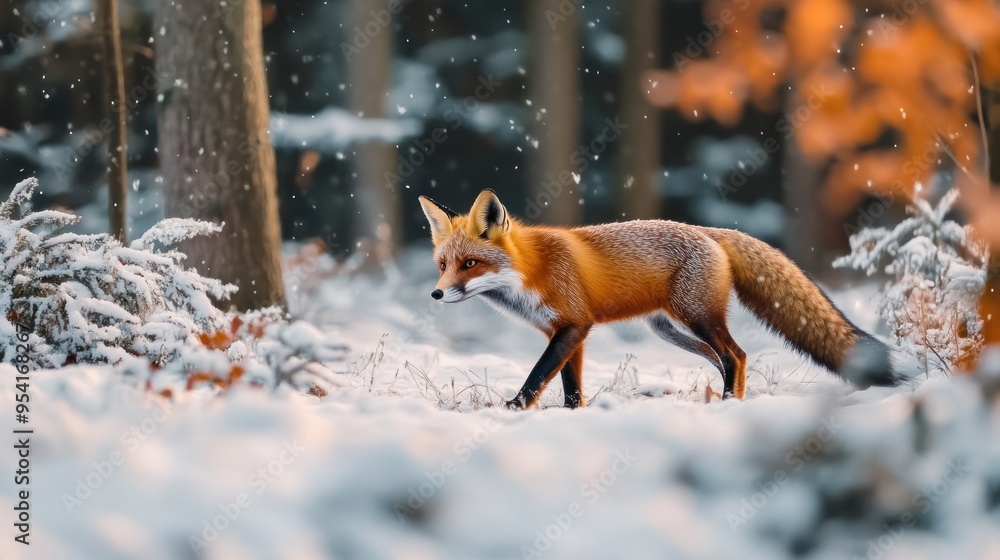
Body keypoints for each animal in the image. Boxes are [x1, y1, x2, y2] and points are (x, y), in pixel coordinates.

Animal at [418, 189, 900, 410]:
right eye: (442, 264)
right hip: (671, 330)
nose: (437, 293)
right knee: (725, 359)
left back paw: (730, 404)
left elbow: (538, 374)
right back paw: (726, 399)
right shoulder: (569, 331)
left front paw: (516, 408)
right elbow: (570, 386)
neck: (531, 271)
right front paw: (573, 414)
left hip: (697, 317)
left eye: (470, 264)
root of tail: (710, 231)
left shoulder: (573, 325)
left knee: (736, 355)